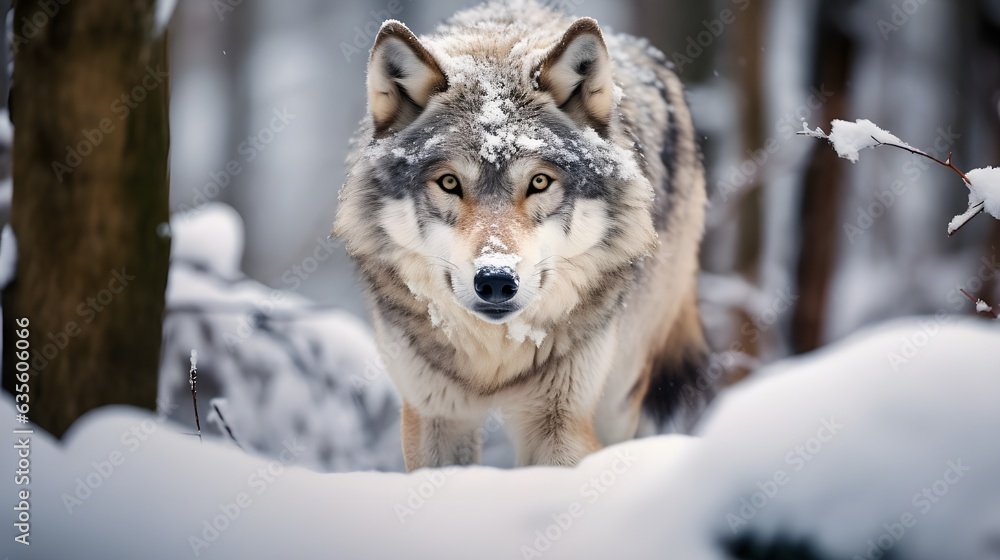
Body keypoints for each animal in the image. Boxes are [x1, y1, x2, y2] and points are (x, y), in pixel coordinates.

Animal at [336, 1, 712, 468]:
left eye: (539, 182)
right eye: (448, 183)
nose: (496, 281)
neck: (495, 359)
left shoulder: (560, 421)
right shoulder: (434, 413)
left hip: (618, 395)